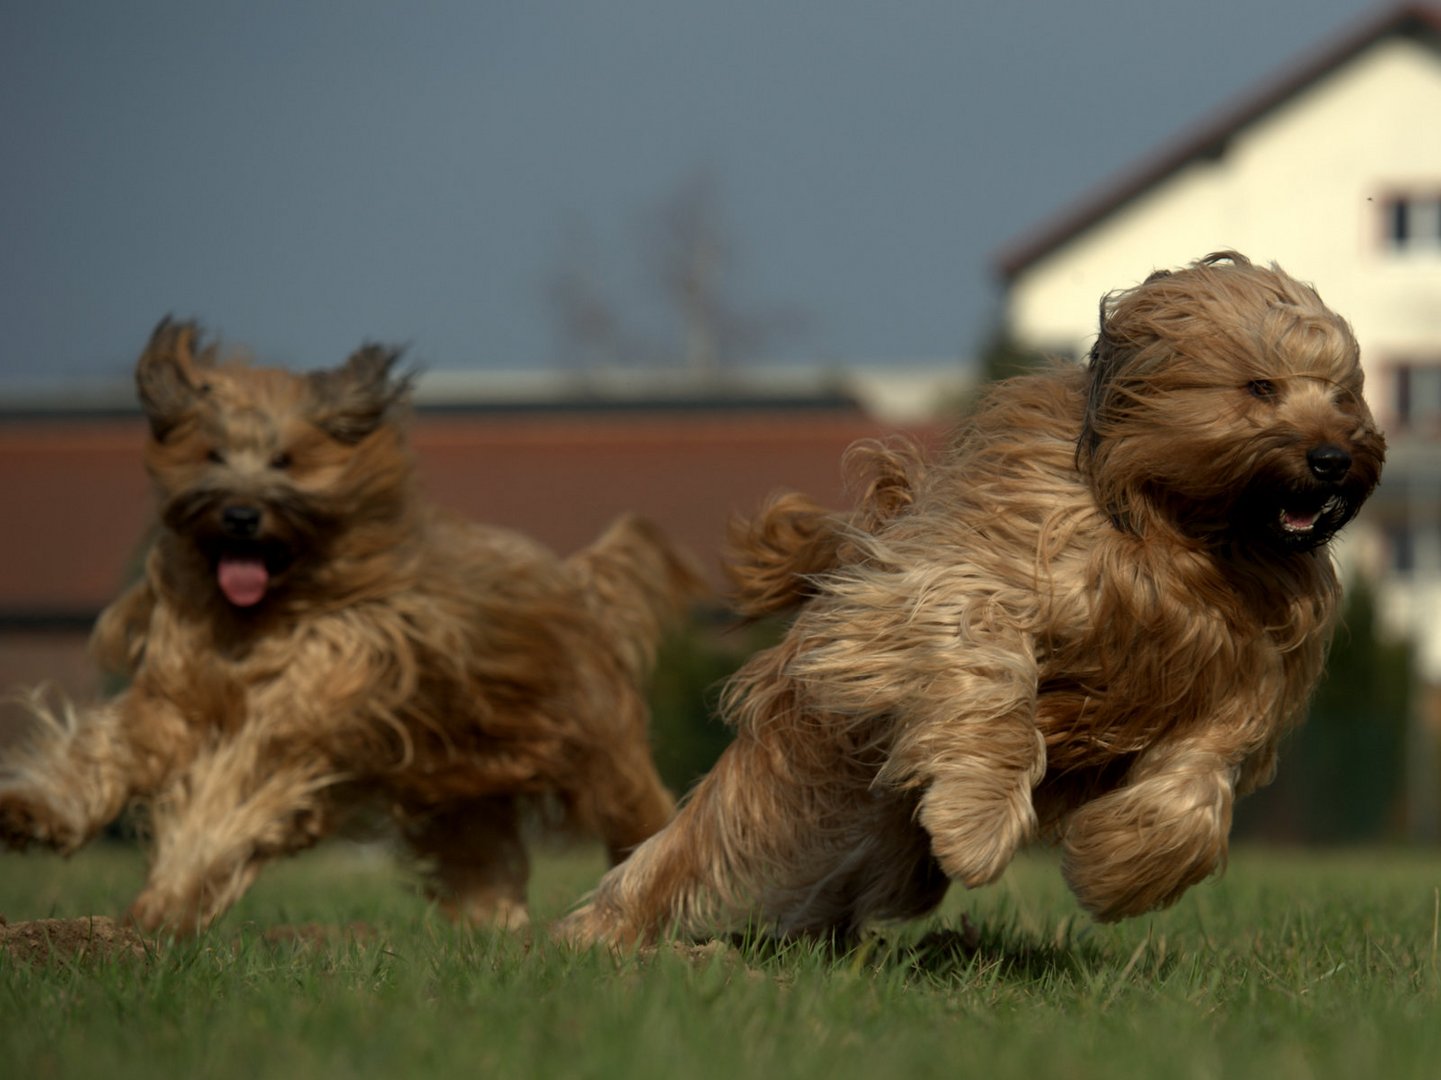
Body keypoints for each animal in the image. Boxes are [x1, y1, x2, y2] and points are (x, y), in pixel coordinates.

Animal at [0, 318, 697, 928]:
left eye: (284, 460)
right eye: (212, 453)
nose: (240, 516)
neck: (263, 616)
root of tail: (581, 583)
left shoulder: (312, 702)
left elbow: (231, 787)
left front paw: (167, 898)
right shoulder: (178, 691)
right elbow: (116, 745)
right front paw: (32, 810)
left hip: (600, 750)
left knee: (638, 812)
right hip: (462, 789)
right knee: (485, 858)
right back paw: (495, 930)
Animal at [559, 252, 1383, 945]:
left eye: (1344, 396)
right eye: (1260, 387)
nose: (1333, 458)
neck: (1181, 537)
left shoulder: (1241, 677)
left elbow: (1197, 779)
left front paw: (1122, 869)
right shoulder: (958, 579)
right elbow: (985, 666)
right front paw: (978, 826)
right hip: (806, 756)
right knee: (706, 839)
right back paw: (603, 933)